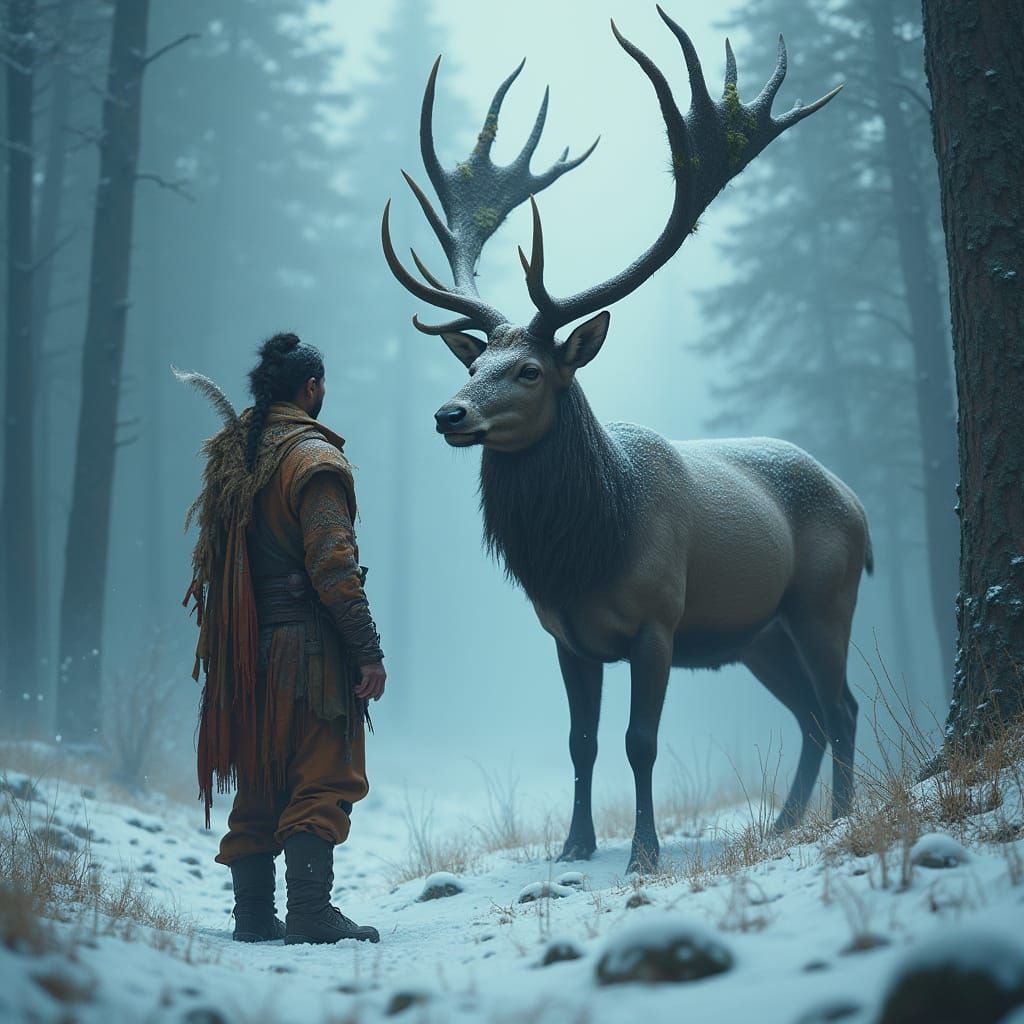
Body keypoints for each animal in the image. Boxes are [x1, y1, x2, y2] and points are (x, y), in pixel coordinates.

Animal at [381, 7, 870, 873]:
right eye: (477, 363)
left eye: (531, 370)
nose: (450, 415)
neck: (587, 548)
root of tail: (863, 512)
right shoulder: (567, 636)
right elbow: (582, 742)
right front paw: (575, 845)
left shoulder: (658, 622)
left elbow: (642, 742)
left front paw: (643, 851)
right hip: (758, 636)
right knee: (811, 714)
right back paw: (786, 822)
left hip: (824, 597)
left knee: (842, 705)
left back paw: (839, 815)